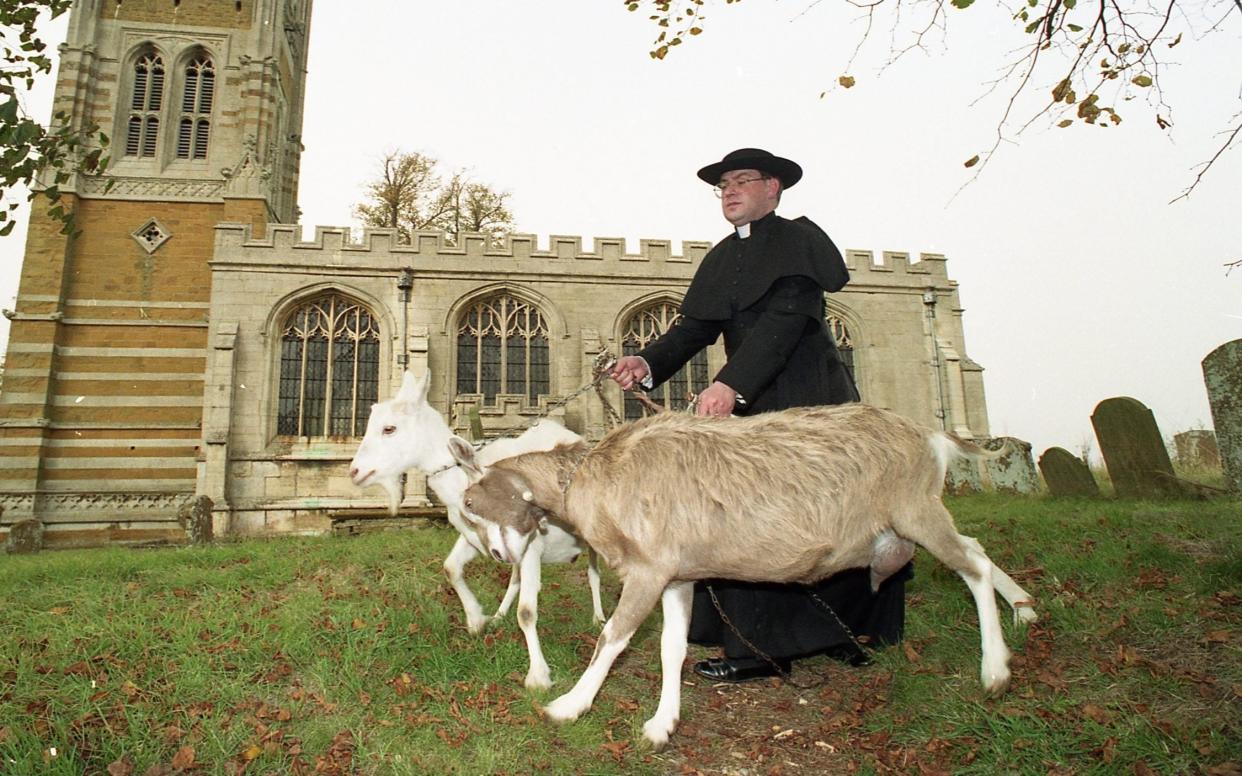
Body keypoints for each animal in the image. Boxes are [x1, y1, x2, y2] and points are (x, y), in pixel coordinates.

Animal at [347, 372, 603, 685]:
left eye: (389, 428)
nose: (355, 472)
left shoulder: (531, 544)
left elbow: (527, 611)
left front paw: (538, 677)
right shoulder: (477, 539)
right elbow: (451, 568)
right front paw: (476, 620)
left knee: (594, 572)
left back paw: (599, 619)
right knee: (516, 577)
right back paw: (499, 615)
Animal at [454, 402, 1038, 749]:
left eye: (470, 501)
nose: (497, 556)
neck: (595, 473)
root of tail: (929, 434)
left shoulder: (647, 569)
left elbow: (613, 639)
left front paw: (567, 706)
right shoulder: (678, 575)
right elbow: (671, 648)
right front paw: (662, 725)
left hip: (915, 510)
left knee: (974, 566)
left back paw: (996, 670)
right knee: (977, 551)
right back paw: (1023, 611)